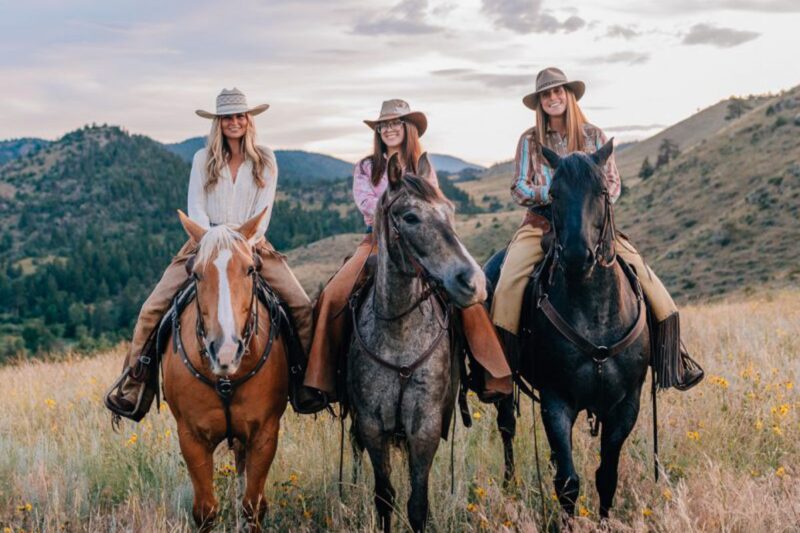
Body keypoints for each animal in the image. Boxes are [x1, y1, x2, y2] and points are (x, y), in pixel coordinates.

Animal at [162, 210, 288, 528]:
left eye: (251, 270)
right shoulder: (191, 438)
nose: (226, 351)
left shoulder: (264, 434)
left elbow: (253, 506)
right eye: (195, 273)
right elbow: (205, 511)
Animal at [350, 152, 488, 528]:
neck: (399, 335)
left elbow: (417, 504)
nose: (473, 282)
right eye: (411, 217)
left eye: (450, 211)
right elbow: (385, 497)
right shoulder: (372, 427)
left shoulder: (423, 428)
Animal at [484, 141, 652, 520]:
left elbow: (606, 476)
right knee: (507, 427)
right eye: (554, 194)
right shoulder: (556, 401)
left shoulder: (626, 405)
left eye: (602, 190)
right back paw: (509, 485)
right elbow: (568, 483)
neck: (596, 313)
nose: (577, 256)